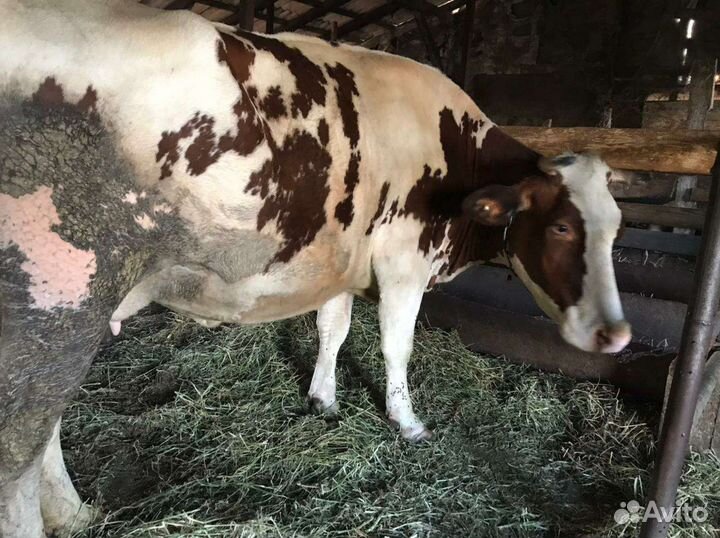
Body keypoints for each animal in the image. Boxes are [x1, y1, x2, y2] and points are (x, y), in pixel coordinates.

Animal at [0, 1, 631, 536]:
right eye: (561, 227)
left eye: (617, 227)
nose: (617, 334)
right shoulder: (404, 264)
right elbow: (396, 347)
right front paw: (408, 423)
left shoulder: (341, 264)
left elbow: (334, 330)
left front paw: (323, 400)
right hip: (50, 312)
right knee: (20, 453)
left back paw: (77, 515)